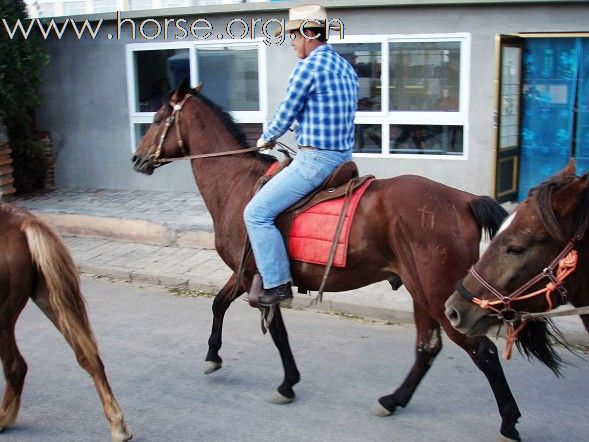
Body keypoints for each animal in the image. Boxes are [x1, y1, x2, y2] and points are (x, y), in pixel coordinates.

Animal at [0, 204, 131, 442]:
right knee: (89, 358)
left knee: (15, 365)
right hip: (50, 297)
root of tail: (22, 222)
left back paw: (3, 418)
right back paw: (119, 427)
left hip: (4, 316)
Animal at [130, 81, 524, 440]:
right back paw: (393, 400)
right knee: (427, 347)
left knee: (483, 351)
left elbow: (277, 332)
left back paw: (508, 422)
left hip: (440, 294)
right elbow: (218, 304)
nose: (136, 158)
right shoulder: (246, 273)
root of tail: (464, 200)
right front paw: (213, 355)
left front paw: (287, 383)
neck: (238, 185)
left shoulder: (260, 279)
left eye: (158, 118)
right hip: (422, 291)